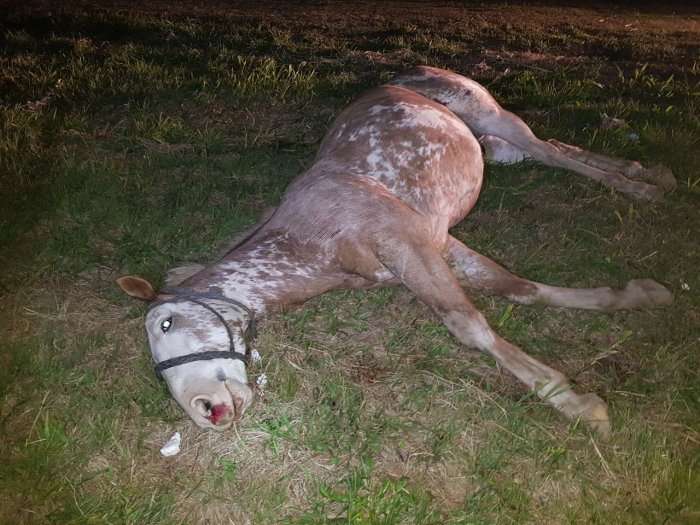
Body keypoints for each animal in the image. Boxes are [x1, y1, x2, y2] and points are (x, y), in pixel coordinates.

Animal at [117, 65, 676, 438]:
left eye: (165, 323)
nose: (205, 410)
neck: (315, 236)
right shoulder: (438, 243)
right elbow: (518, 288)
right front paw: (635, 296)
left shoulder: (410, 246)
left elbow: (468, 324)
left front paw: (575, 402)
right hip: (496, 146)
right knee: (556, 148)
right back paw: (645, 171)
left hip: (493, 117)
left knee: (553, 153)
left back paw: (642, 186)